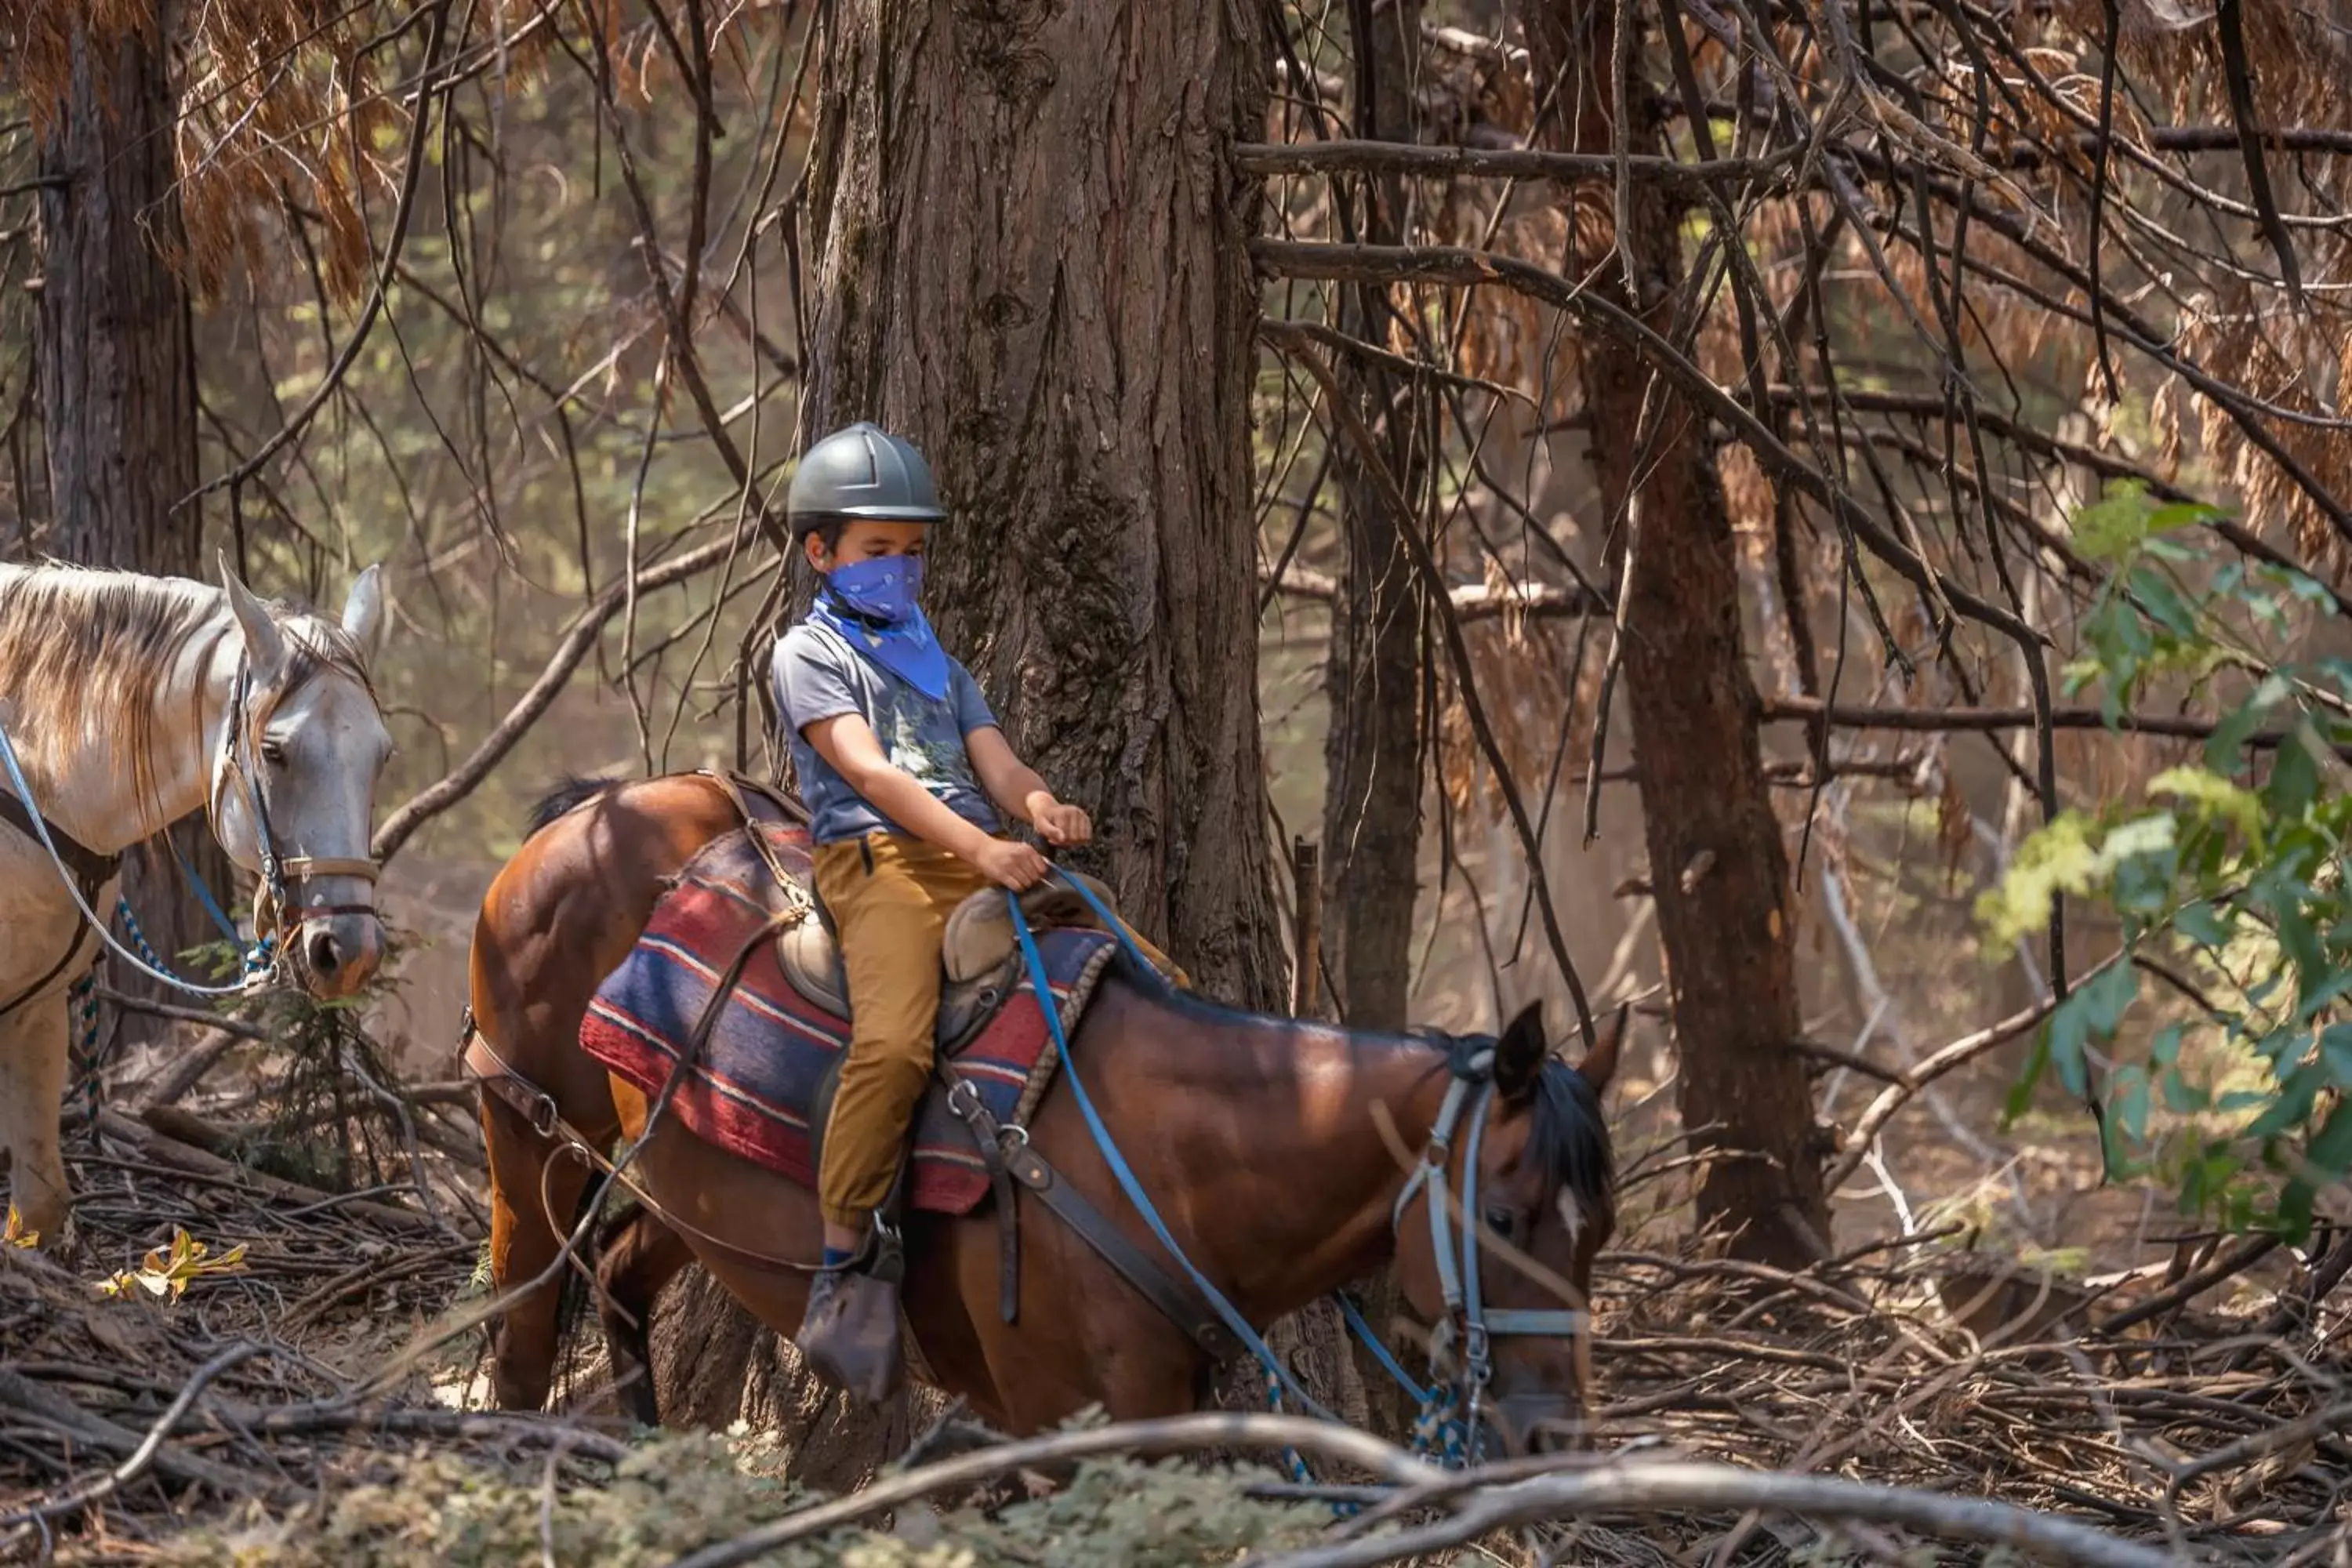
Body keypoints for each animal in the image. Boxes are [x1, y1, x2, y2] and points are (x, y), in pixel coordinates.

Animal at [0, 557, 390, 1241]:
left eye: (382, 756)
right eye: (273, 751)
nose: (350, 949)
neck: (32, 775)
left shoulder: (36, 1010)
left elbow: (39, 1210)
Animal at [468, 771, 1628, 1457]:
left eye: (1601, 1234)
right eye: (1506, 1217)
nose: (1555, 1440)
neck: (1161, 1160)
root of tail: (600, 807)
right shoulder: (1060, 1421)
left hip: (686, 1185)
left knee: (616, 1280)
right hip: (526, 1126)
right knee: (522, 1332)